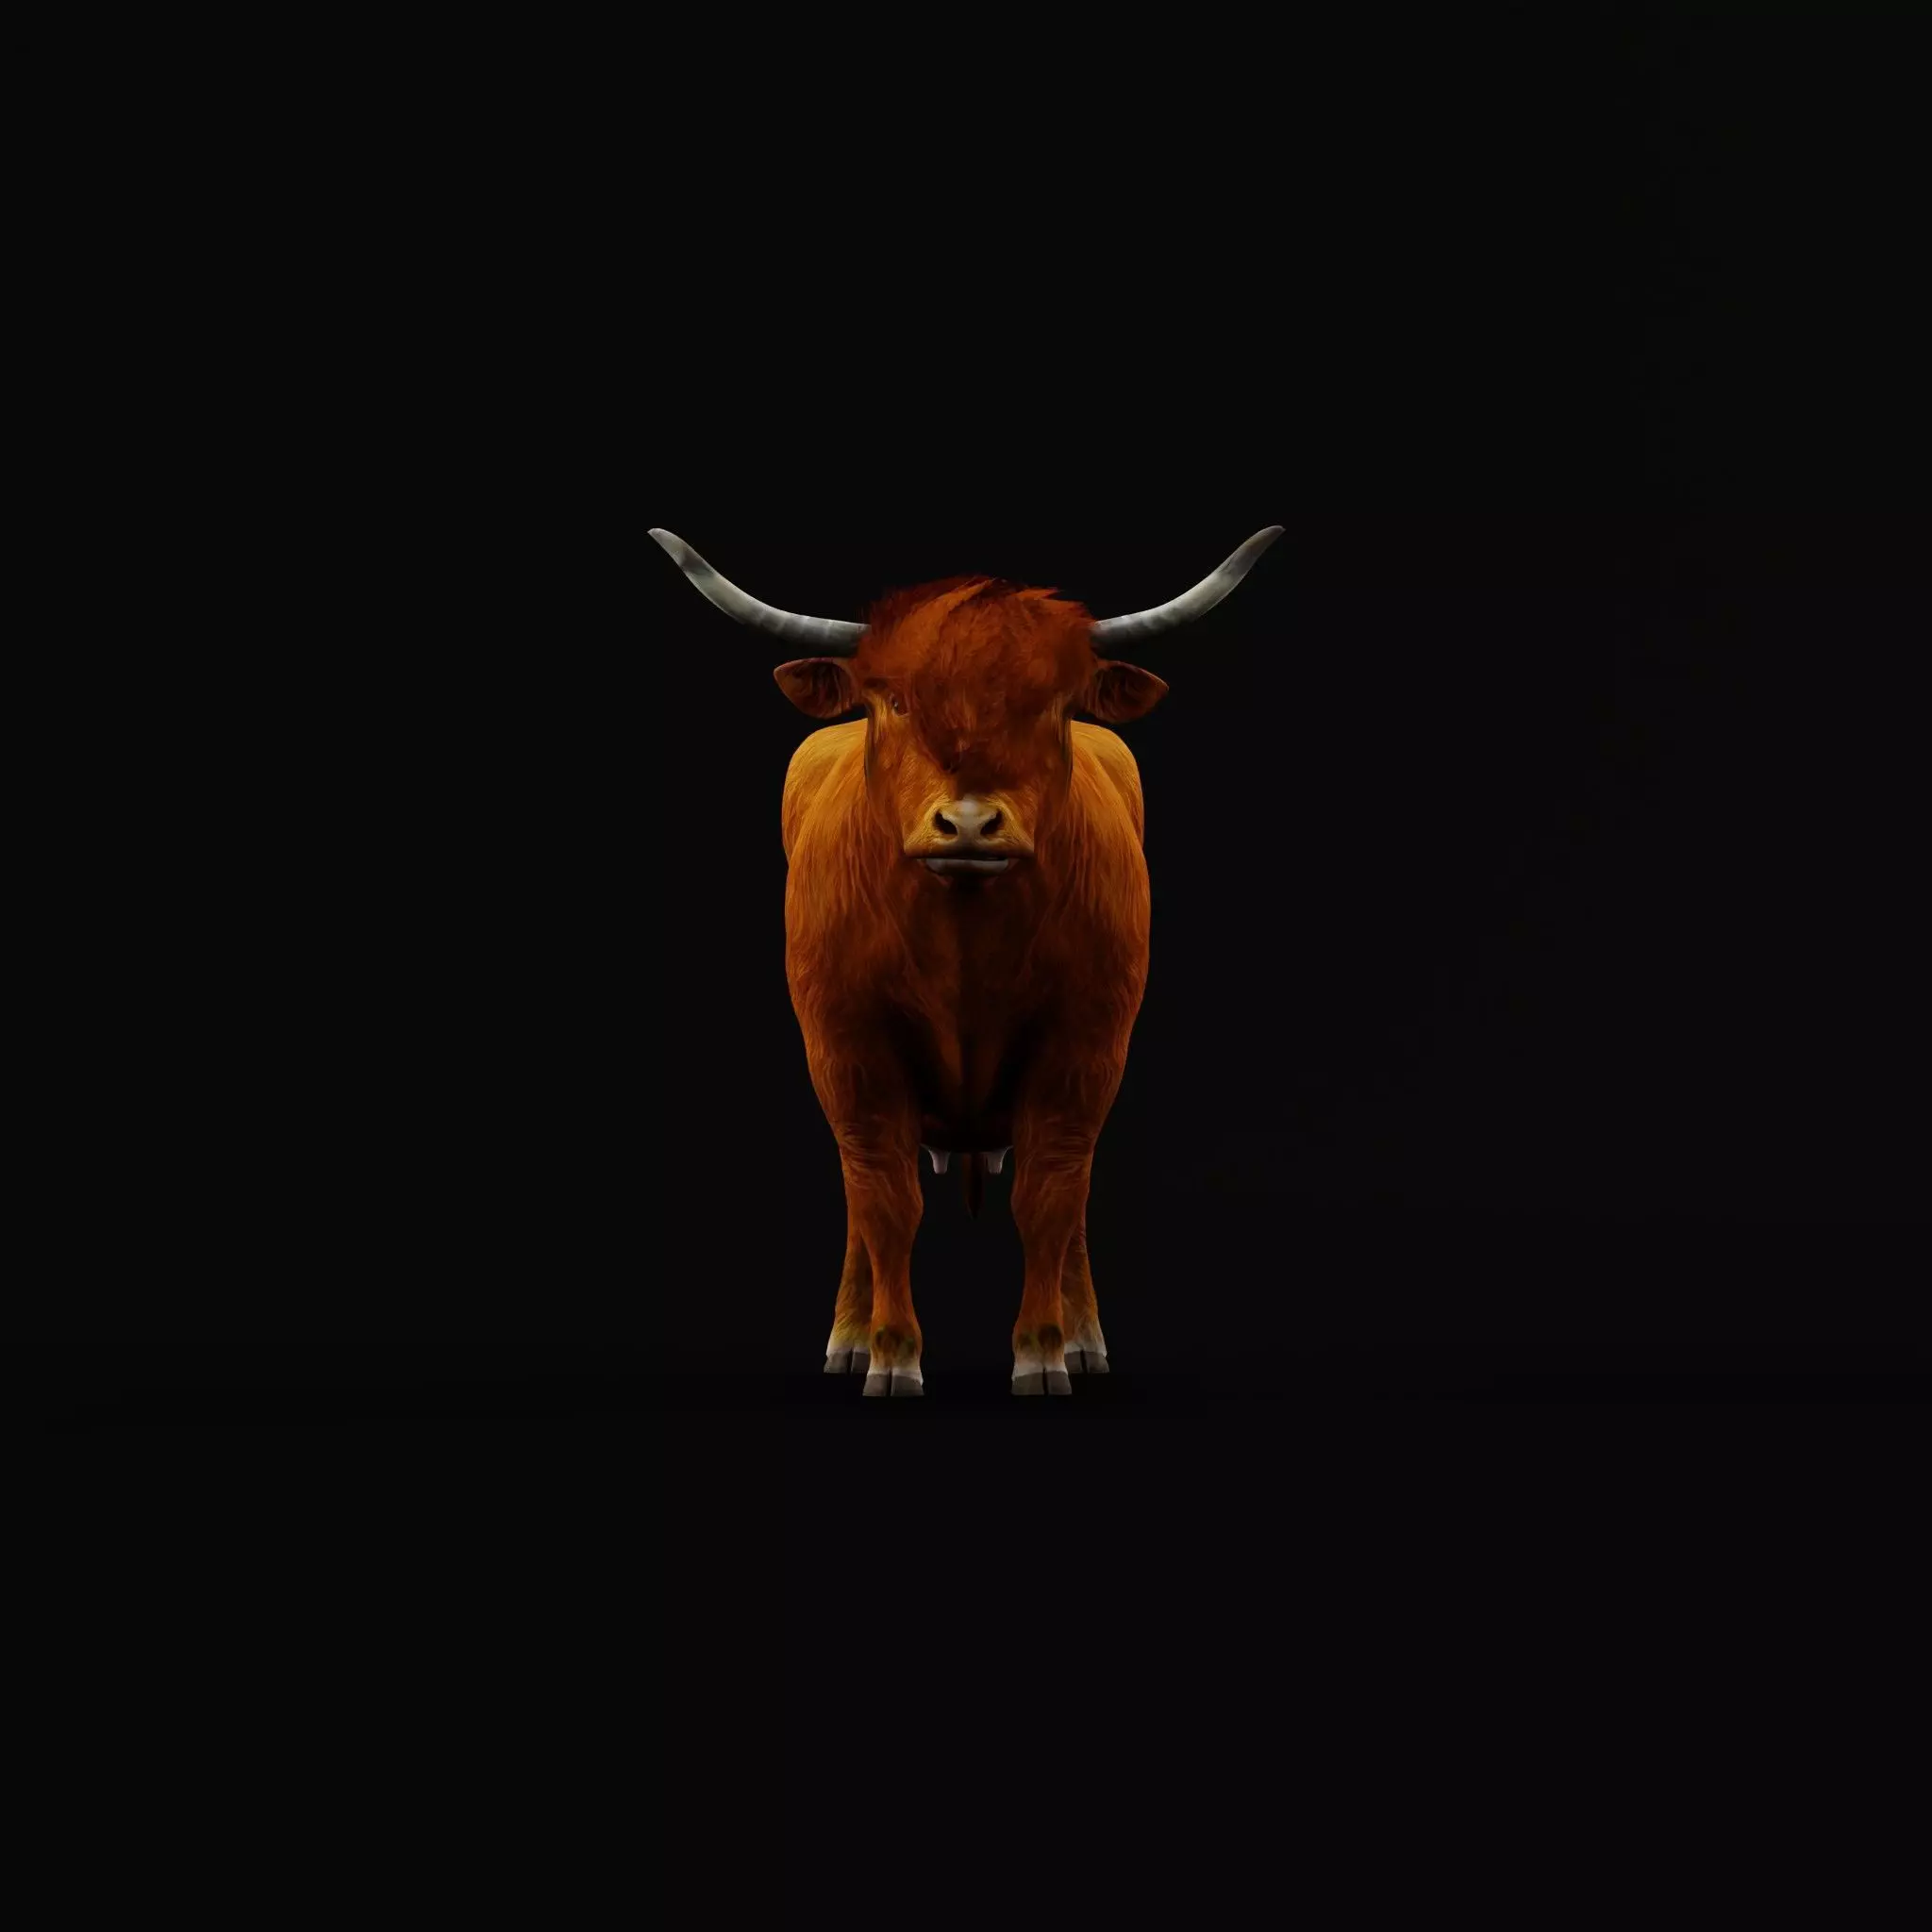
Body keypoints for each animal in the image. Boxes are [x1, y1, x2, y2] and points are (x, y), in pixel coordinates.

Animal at [651, 526, 1283, 1395]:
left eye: (1054, 705)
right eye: (893, 700)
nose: (973, 824)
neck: (965, 941)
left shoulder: (1086, 1049)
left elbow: (1050, 1194)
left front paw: (1043, 1350)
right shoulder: (847, 1051)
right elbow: (884, 1198)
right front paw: (891, 1353)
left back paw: (1084, 1337)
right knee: (859, 1196)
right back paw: (849, 1336)